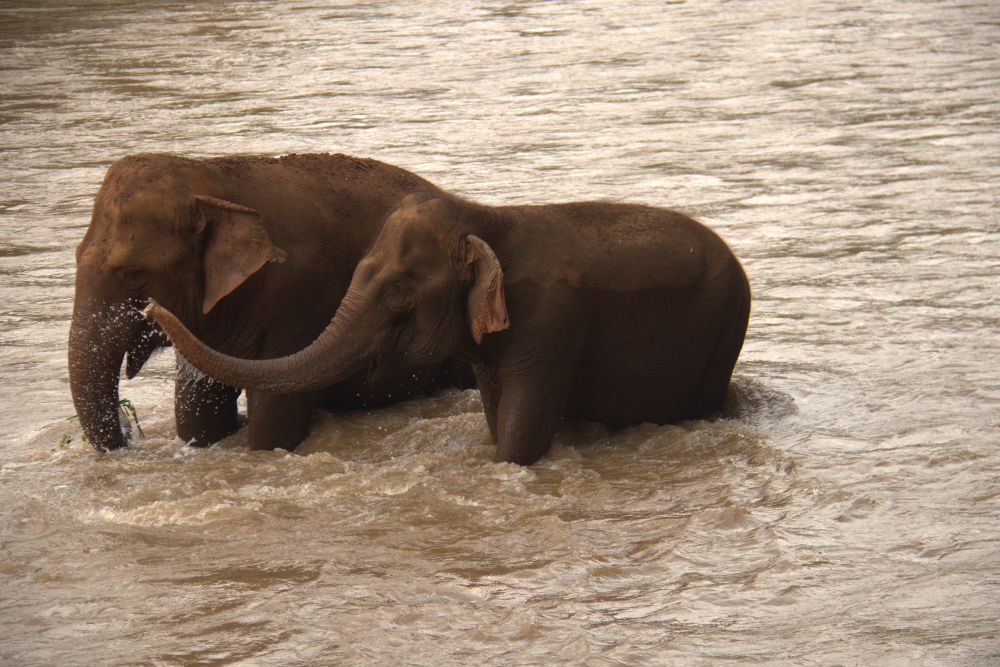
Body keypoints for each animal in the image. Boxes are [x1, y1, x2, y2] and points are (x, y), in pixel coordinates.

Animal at [69, 153, 471, 452]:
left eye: (132, 273)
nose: (128, 425)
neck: (209, 174)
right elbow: (196, 415)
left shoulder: (302, 295)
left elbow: (273, 415)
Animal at [146, 190, 751, 465]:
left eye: (397, 290)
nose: (150, 307)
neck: (487, 215)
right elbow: (496, 411)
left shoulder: (552, 319)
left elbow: (521, 433)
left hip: (725, 331)